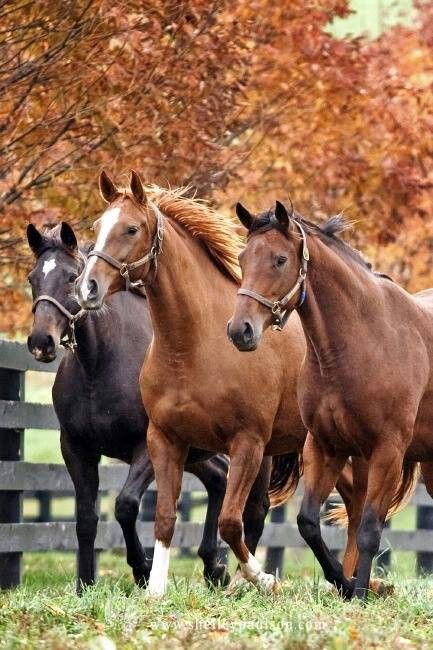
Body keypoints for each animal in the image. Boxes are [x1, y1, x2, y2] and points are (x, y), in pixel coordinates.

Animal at [26, 223, 264, 592]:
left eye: (70, 277)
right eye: (32, 278)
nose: (41, 342)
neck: (100, 365)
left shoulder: (147, 447)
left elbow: (125, 505)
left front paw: (142, 568)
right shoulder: (76, 448)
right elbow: (85, 518)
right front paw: (84, 585)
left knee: (254, 505)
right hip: (198, 453)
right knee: (219, 479)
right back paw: (214, 566)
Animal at [73, 170, 354, 596]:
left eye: (131, 228)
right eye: (96, 227)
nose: (87, 288)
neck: (193, 348)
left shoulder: (246, 443)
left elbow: (228, 521)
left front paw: (262, 577)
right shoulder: (165, 440)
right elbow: (166, 516)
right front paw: (156, 588)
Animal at [230, 201, 422, 596]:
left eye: (280, 259)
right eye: (242, 257)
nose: (240, 330)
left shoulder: (389, 451)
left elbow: (370, 529)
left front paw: (360, 593)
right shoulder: (325, 446)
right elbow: (308, 522)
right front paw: (344, 584)